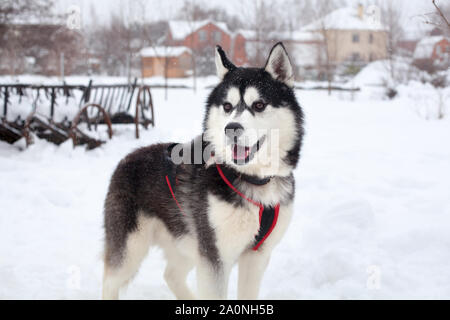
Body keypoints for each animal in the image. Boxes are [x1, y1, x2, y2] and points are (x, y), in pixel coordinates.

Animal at [102, 42, 304, 300]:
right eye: (227, 106)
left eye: (259, 105)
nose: (232, 128)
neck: (253, 179)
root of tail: (128, 157)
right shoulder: (215, 256)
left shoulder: (256, 256)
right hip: (131, 248)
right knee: (110, 281)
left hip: (187, 243)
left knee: (171, 275)